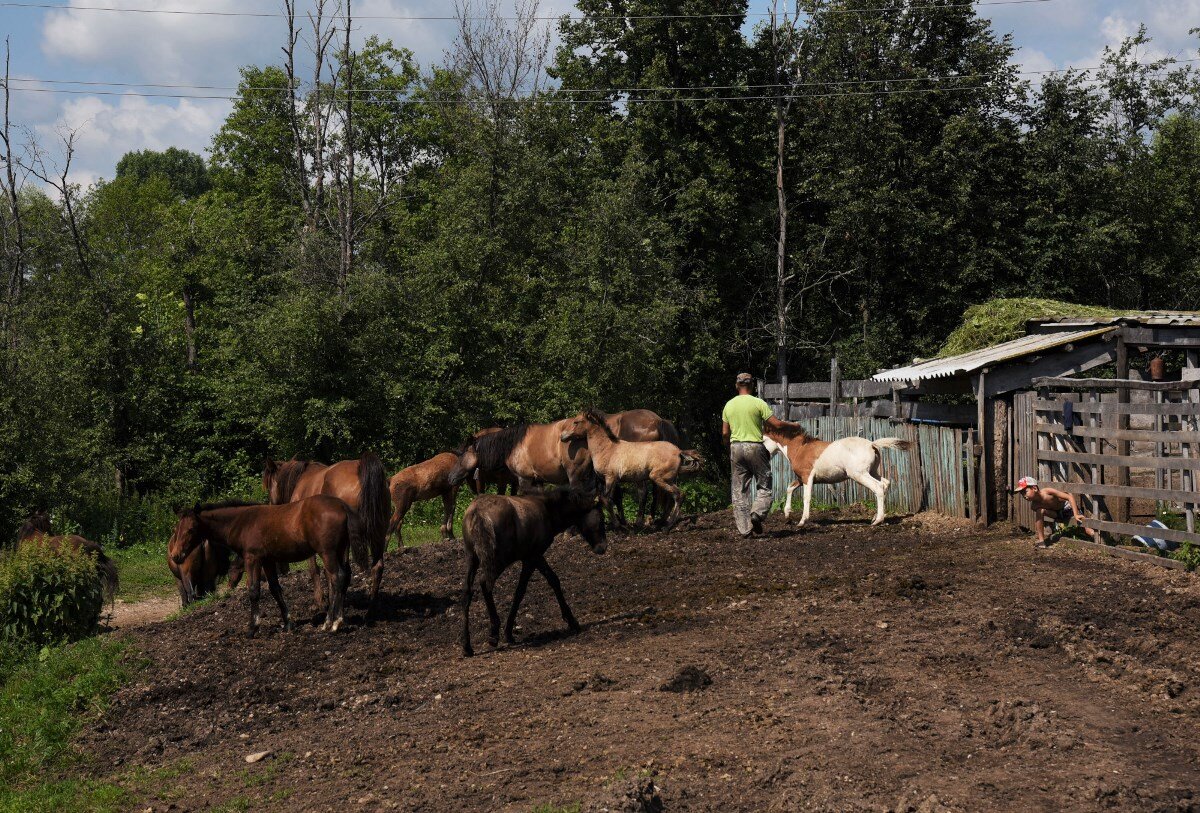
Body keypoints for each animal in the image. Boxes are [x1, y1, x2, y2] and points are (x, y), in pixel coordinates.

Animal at [170, 501, 360, 637]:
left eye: (191, 529)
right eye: (176, 529)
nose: (176, 556)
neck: (242, 523)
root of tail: (342, 506)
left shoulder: (252, 558)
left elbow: (254, 590)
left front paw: (252, 628)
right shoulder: (268, 561)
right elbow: (275, 589)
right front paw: (288, 624)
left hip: (327, 552)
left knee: (336, 578)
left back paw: (331, 624)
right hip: (342, 549)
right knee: (345, 576)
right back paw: (339, 619)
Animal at [262, 455, 388, 609]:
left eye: (269, 487)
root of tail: (360, 467)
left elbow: (314, 569)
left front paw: (319, 602)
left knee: (344, 572)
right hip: (378, 534)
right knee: (377, 567)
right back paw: (372, 604)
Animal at [458, 486, 609, 657]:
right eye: (601, 518)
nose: (603, 547)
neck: (549, 509)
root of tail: (477, 513)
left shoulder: (532, 557)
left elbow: (538, 585)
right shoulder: (533, 556)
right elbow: (533, 587)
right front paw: (571, 621)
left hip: (472, 558)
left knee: (467, 592)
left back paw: (467, 645)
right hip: (498, 561)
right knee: (485, 584)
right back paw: (494, 633)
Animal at [763, 426, 912, 527]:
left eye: (763, 440)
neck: (801, 449)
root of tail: (872, 444)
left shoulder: (807, 477)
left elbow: (806, 497)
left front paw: (802, 521)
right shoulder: (801, 479)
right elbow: (789, 488)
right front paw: (787, 515)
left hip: (859, 474)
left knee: (878, 487)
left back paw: (877, 521)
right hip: (872, 472)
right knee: (885, 483)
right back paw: (875, 518)